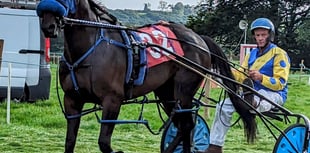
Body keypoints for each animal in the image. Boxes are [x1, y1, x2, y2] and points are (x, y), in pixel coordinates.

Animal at [36, 0, 256, 152]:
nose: (48, 26)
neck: (91, 49)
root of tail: (198, 38)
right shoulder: (72, 100)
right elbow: (70, 141)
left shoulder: (112, 100)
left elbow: (104, 143)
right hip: (166, 93)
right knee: (182, 126)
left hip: (183, 91)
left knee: (187, 125)